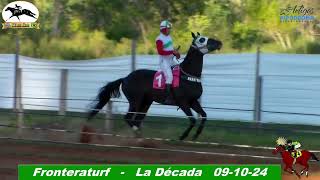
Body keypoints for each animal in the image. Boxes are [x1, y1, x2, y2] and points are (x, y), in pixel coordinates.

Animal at [82, 32, 222, 142]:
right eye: (201, 39)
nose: (219, 42)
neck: (187, 75)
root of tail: (125, 78)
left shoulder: (193, 101)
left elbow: (204, 115)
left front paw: (195, 136)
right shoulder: (183, 102)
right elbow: (193, 120)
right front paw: (182, 136)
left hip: (145, 102)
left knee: (137, 120)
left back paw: (140, 137)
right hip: (136, 101)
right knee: (129, 118)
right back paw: (138, 134)